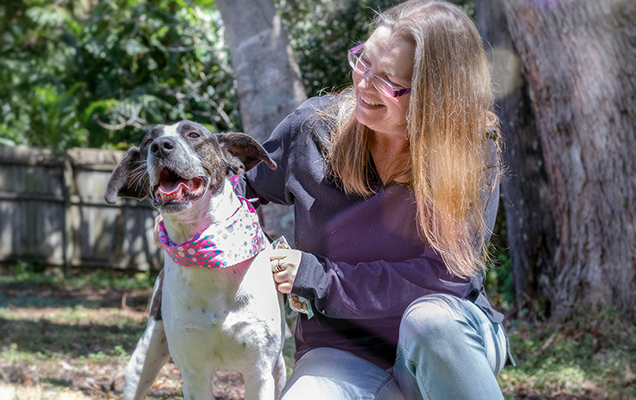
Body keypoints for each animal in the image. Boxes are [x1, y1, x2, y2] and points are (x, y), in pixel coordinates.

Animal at [106, 122, 286, 400]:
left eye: (193, 135)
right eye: (148, 141)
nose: (161, 146)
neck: (211, 259)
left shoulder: (259, 373)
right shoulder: (194, 376)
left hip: (279, 371)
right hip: (143, 359)